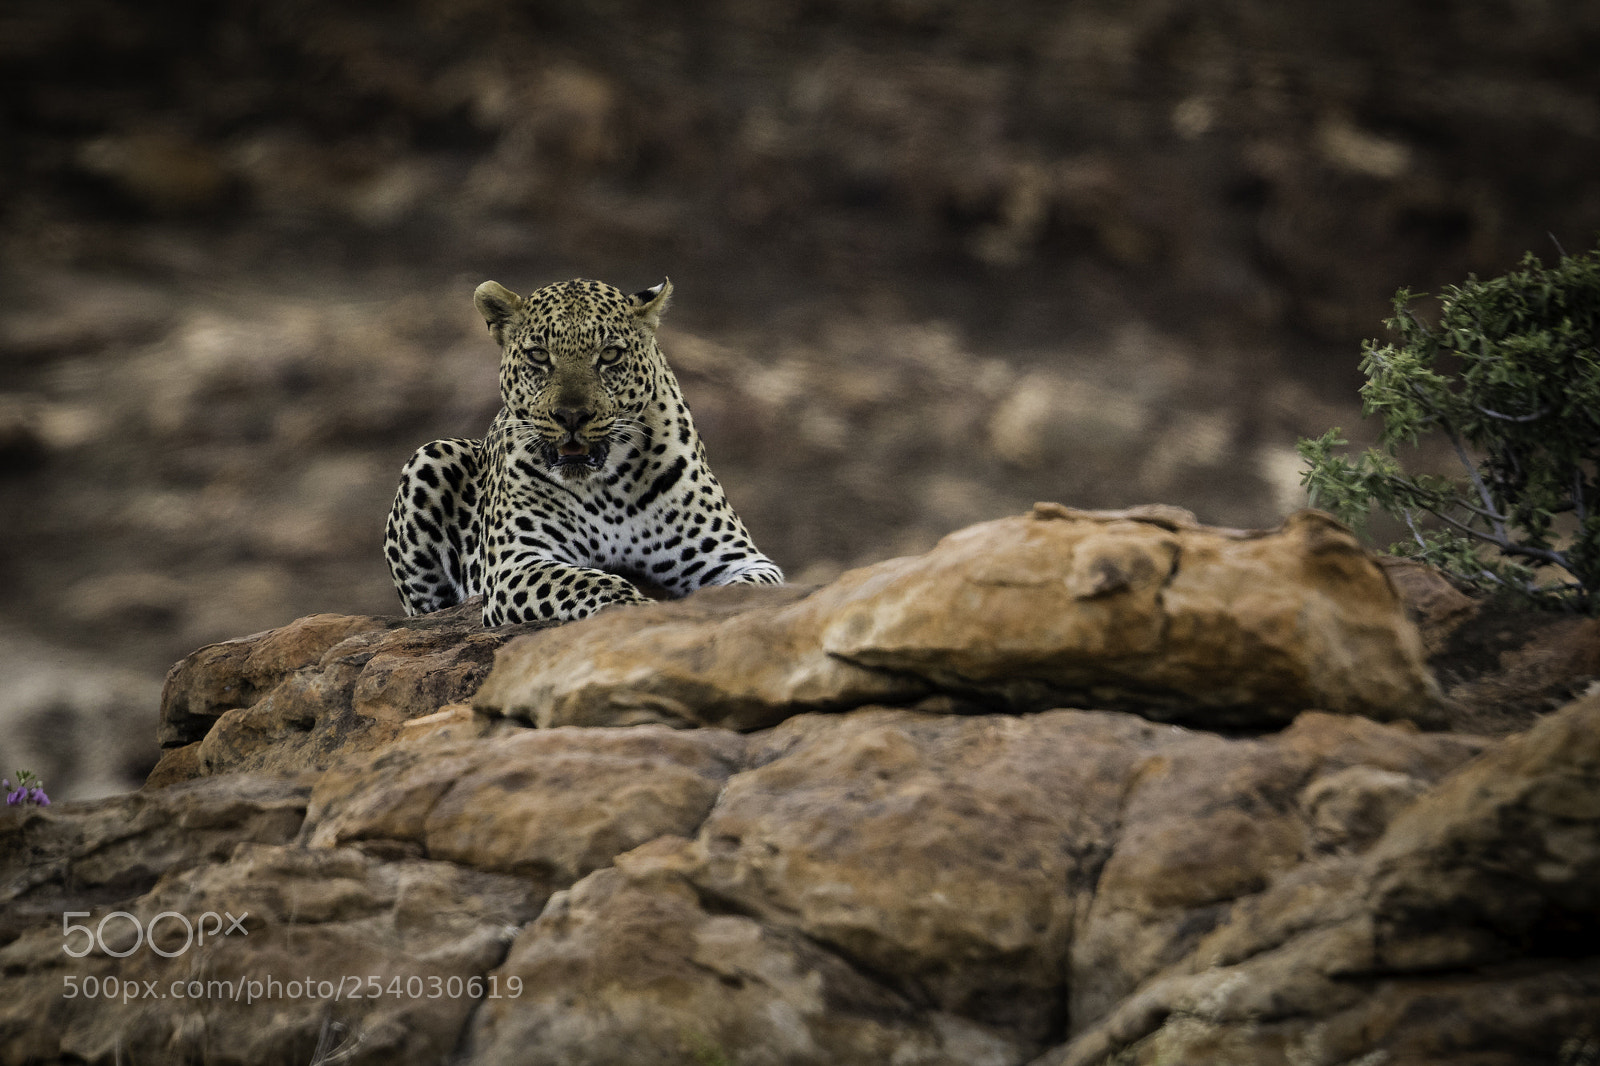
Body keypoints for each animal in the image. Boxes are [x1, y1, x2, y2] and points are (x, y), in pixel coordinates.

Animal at [384, 276, 784, 626]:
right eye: (538, 355)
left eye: (609, 354)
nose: (571, 416)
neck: (610, 486)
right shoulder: (516, 564)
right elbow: (590, 580)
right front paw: (639, 609)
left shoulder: (740, 559)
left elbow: (740, 592)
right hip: (431, 455)